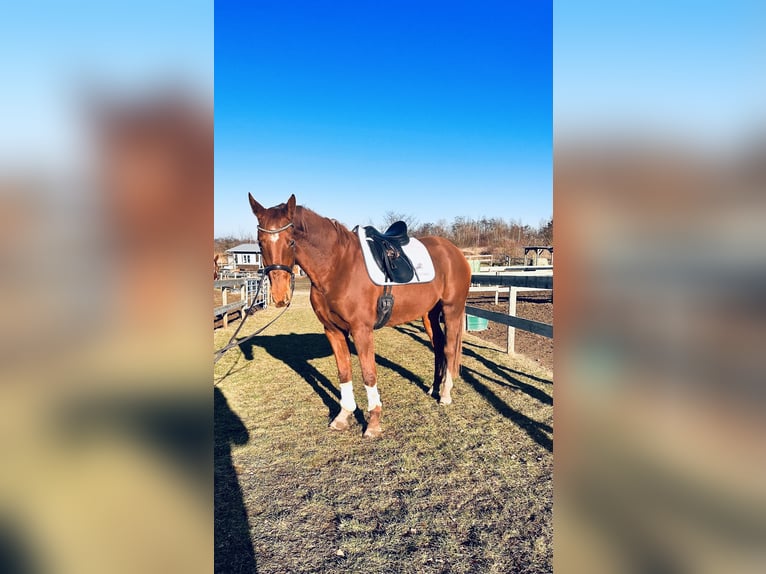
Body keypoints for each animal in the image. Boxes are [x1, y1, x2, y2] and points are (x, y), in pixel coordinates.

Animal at [249, 195, 472, 440]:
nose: (280, 296)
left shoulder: (361, 330)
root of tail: (454, 251)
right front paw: (343, 416)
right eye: (260, 243)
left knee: (449, 348)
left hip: (452, 310)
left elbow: (368, 374)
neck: (338, 266)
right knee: (438, 346)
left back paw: (445, 394)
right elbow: (344, 372)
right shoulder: (333, 330)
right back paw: (434, 388)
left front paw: (373, 422)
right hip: (429, 314)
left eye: (291, 241)